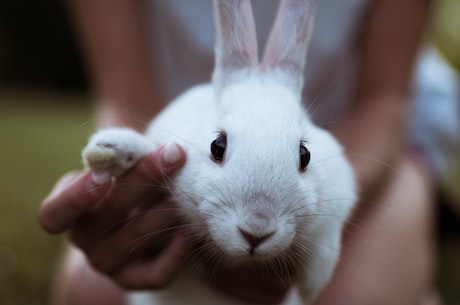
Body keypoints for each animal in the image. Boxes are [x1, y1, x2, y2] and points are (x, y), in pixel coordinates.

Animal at [82, 1, 356, 302]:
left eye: (305, 155)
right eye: (217, 146)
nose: (256, 231)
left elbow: (325, 246)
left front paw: (312, 284)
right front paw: (107, 151)